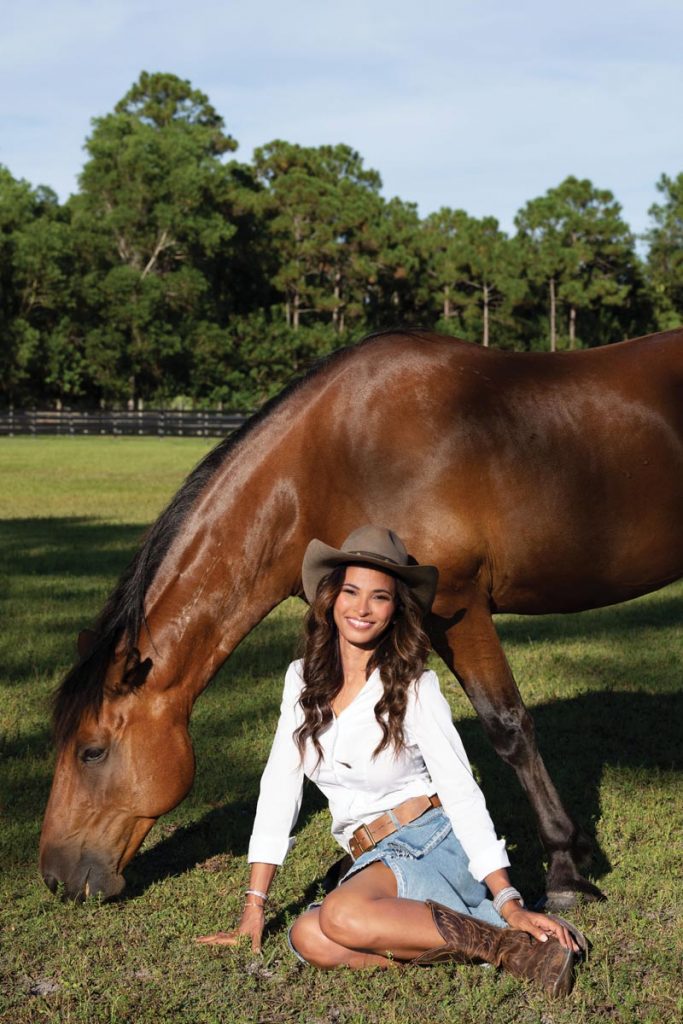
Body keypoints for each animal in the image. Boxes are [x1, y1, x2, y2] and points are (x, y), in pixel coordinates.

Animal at [38, 325, 683, 905]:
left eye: (92, 751)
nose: (55, 878)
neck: (330, 462)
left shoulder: (457, 609)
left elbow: (509, 729)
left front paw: (565, 869)